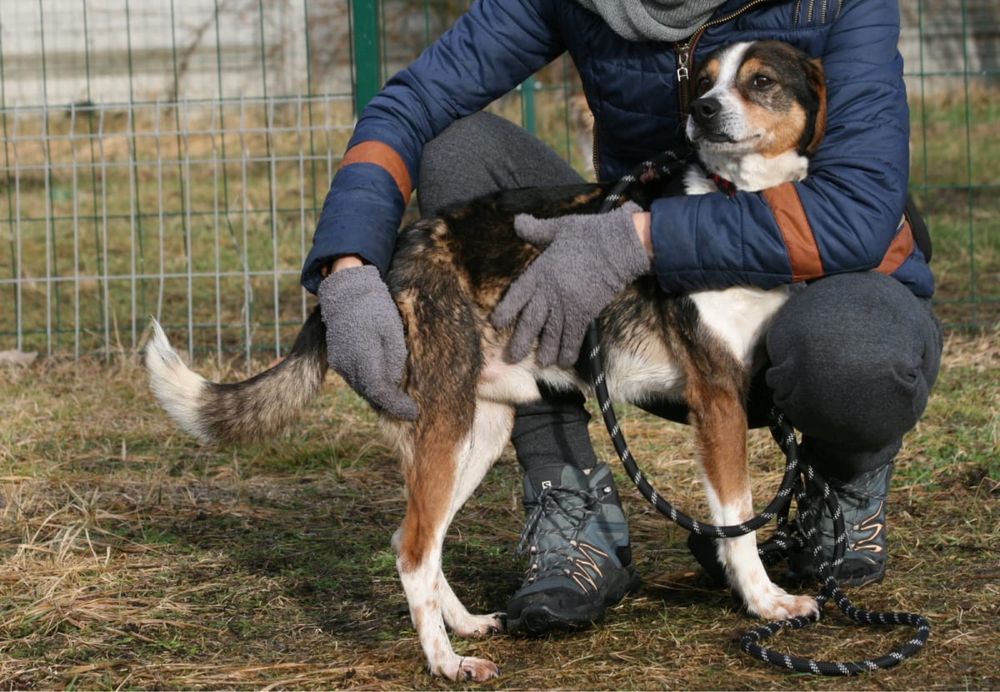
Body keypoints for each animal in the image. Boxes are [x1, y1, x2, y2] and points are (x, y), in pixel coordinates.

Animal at [146, 40, 828, 684]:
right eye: (705, 80)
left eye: (760, 80)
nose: (703, 110)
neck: (735, 201)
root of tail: (385, 260)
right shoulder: (717, 399)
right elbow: (738, 521)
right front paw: (767, 601)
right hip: (446, 429)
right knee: (412, 550)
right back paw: (446, 663)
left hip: (478, 430)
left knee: (417, 538)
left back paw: (466, 625)